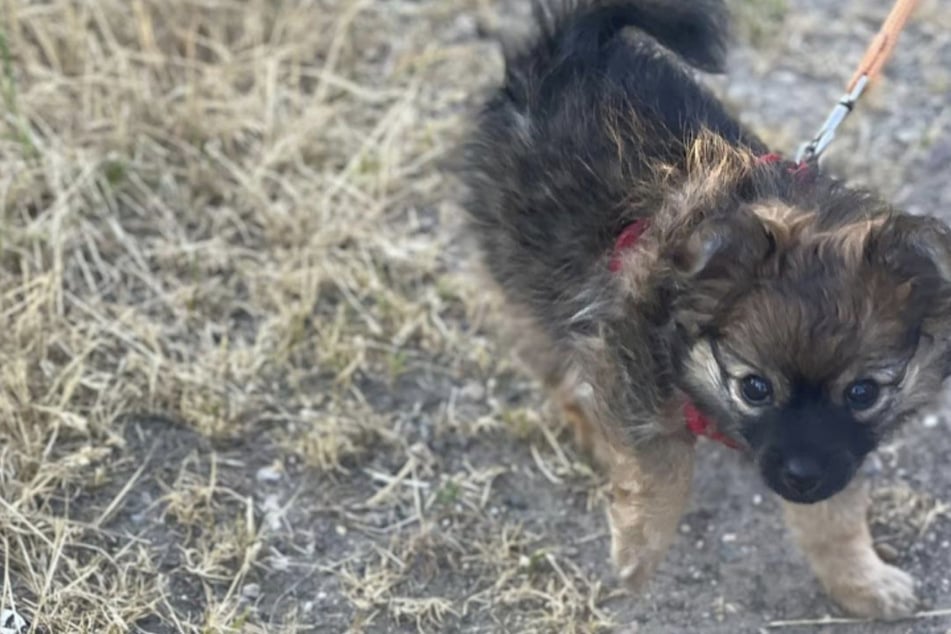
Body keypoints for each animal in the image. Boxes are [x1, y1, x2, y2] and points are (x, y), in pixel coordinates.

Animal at [458, 0, 948, 616]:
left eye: (863, 393)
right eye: (755, 388)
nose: (800, 477)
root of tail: (564, 55)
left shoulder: (840, 450)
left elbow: (836, 516)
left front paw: (862, 581)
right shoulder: (626, 350)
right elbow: (665, 465)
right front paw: (639, 552)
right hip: (534, 277)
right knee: (556, 367)